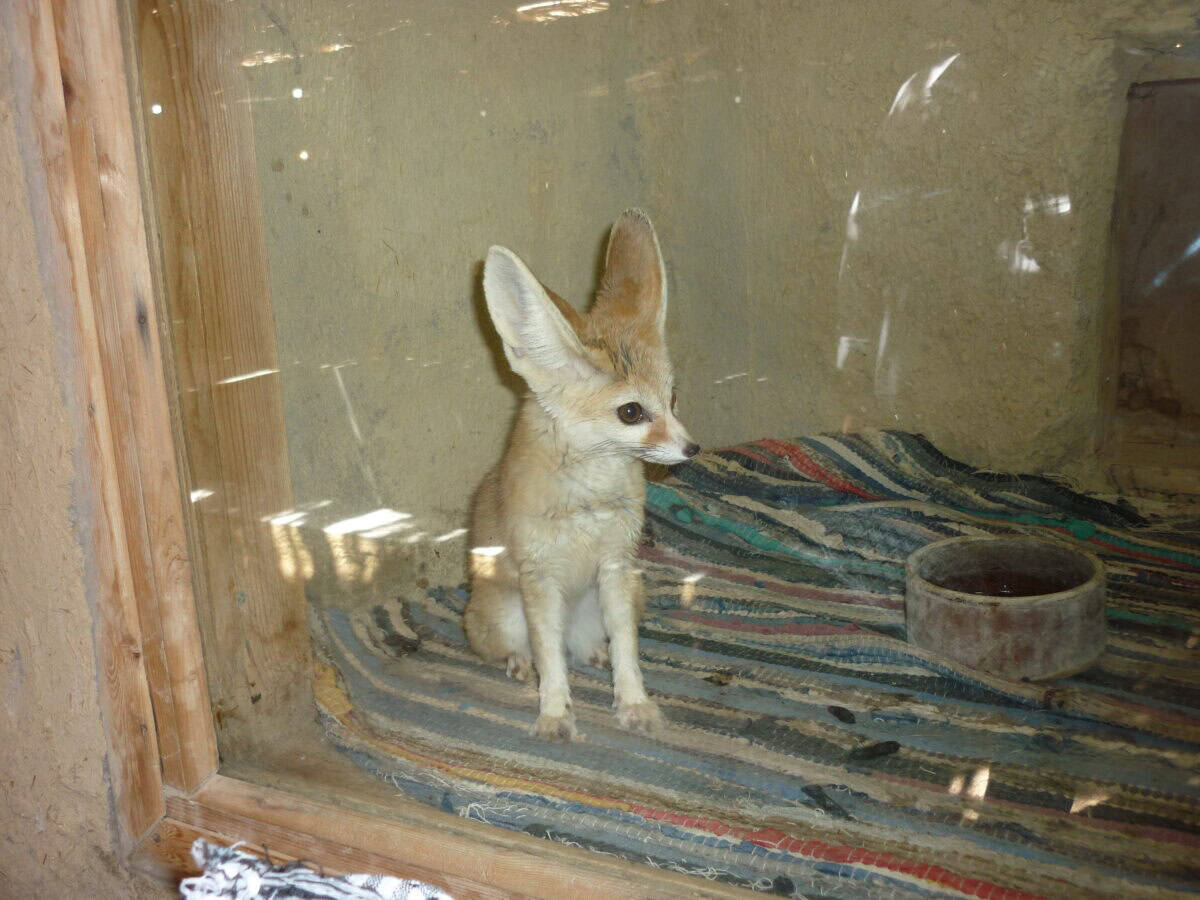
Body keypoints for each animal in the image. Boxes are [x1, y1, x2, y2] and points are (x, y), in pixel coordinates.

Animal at [464, 209, 699, 742]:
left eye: (673, 399)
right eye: (631, 412)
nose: (692, 449)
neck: (591, 500)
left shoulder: (616, 565)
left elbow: (628, 653)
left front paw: (634, 704)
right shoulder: (540, 578)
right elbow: (551, 661)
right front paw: (554, 713)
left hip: (630, 593)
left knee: (591, 644)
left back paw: (593, 654)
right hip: (504, 615)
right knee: (532, 649)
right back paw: (520, 664)